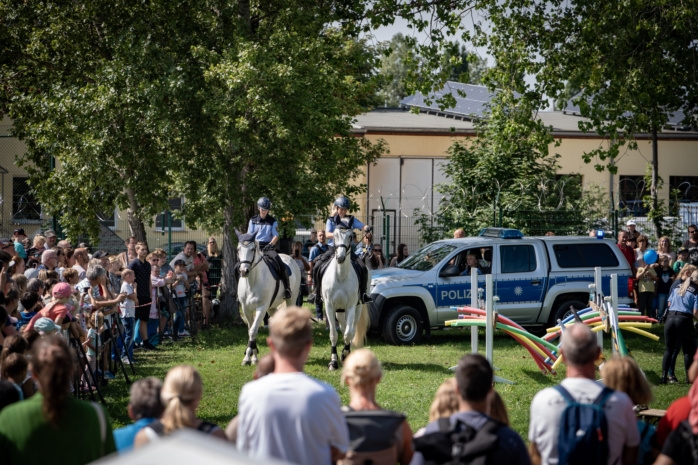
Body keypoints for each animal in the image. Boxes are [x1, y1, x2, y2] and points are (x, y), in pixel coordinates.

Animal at [235, 229, 301, 365]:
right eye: (238, 249)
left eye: (252, 249)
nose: (244, 271)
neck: (251, 282)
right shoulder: (246, 309)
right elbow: (250, 330)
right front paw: (252, 357)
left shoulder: (261, 308)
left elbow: (253, 330)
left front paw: (248, 358)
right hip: (272, 307)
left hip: (291, 299)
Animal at [322, 227, 370, 371]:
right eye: (334, 236)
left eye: (350, 236)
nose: (340, 258)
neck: (340, 275)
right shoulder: (330, 307)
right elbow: (334, 334)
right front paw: (333, 361)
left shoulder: (350, 307)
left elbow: (349, 333)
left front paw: (344, 354)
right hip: (339, 310)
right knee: (343, 329)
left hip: (357, 308)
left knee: (351, 331)